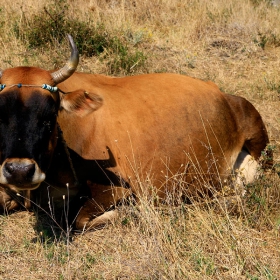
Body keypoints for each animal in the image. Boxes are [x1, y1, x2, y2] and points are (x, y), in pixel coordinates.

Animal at [0, 34, 272, 230]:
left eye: (50, 116)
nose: (19, 171)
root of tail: (219, 91)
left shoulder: (117, 188)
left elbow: (80, 220)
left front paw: (133, 210)